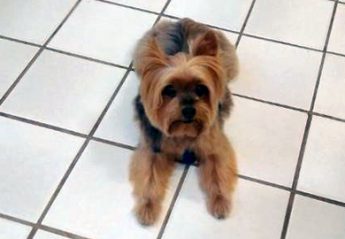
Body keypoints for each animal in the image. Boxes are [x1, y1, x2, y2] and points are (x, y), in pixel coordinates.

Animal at [128, 17, 236, 225]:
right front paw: (148, 206)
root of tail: (185, 22)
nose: (188, 110)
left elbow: (218, 172)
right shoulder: (154, 146)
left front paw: (220, 201)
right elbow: (150, 176)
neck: (183, 131)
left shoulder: (213, 143)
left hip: (227, 59)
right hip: (141, 53)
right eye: (169, 90)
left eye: (201, 89)